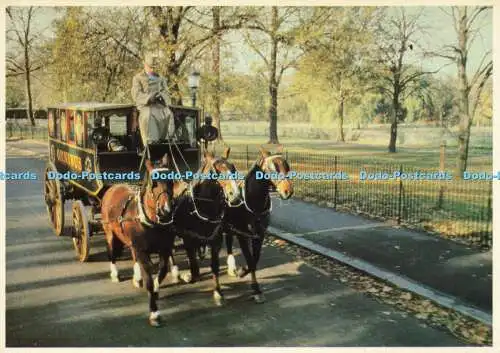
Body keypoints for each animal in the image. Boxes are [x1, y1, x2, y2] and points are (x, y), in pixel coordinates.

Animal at [99, 154, 184, 328]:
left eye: (171, 180)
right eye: (154, 183)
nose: (166, 210)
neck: (152, 222)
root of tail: (113, 187)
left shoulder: (164, 249)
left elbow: (162, 271)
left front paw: (156, 289)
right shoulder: (143, 251)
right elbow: (149, 279)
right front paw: (154, 313)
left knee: (133, 255)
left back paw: (137, 277)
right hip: (110, 232)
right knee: (112, 253)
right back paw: (115, 273)